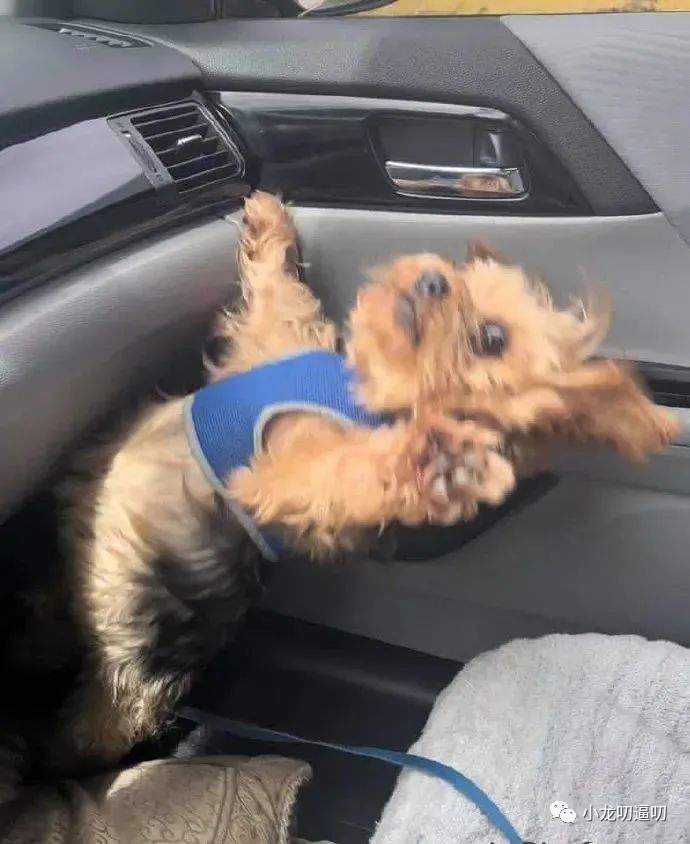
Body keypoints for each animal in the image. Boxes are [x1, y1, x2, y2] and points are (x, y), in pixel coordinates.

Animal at [52, 192, 678, 771]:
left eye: (492, 338)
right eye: (457, 275)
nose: (432, 278)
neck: (366, 392)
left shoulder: (281, 481)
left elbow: (346, 470)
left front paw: (439, 461)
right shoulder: (275, 344)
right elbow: (280, 297)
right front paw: (270, 222)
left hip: (139, 664)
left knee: (103, 721)